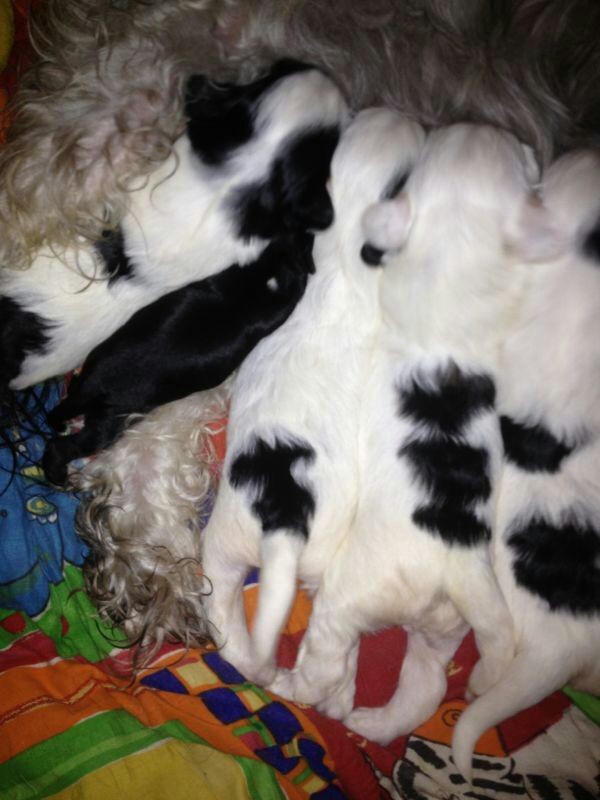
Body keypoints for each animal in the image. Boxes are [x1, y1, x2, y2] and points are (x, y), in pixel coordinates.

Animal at [42, 231, 315, 486]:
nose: (311, 234)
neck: (262, 274)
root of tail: (89, 389)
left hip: (88, 372)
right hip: (106, 424)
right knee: (62, 446)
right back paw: (57, 475)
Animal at [200, 108, 427, 687]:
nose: (397, 111)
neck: (343, 245)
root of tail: (284, 514)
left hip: (224, 543)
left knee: (227, 617)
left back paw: (254, 665)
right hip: (323, 560)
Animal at [269, 122, 565, 739]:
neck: (458, 243)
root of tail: (458, 566)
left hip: (351, 595)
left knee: (327, 655)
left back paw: (293, 687)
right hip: (445, 626)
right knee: (426, 686)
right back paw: (372, 721)